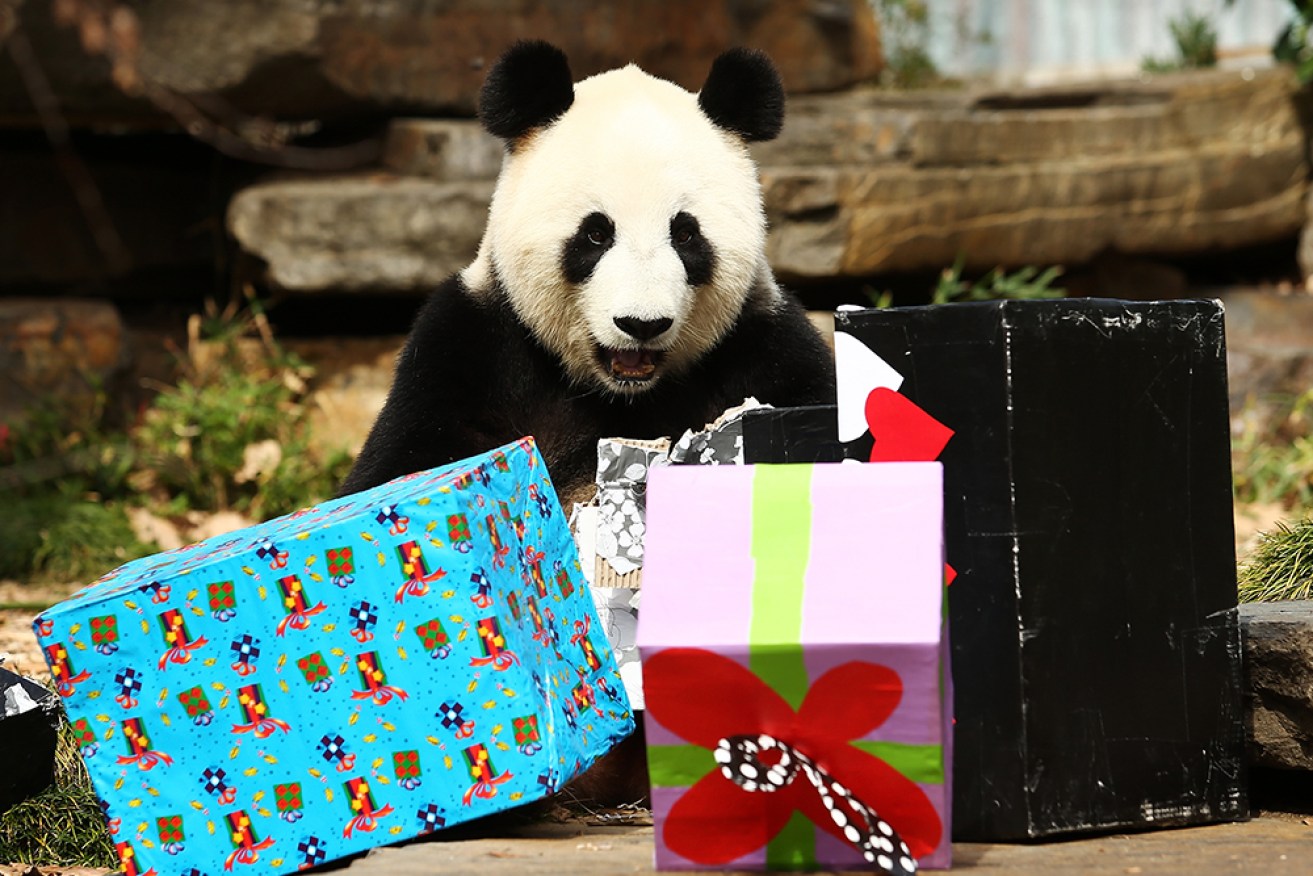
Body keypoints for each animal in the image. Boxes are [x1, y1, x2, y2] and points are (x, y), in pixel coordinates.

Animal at [338, 42, 829, 803]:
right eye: (595, 234)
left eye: (686, 235)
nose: (641, 324)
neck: (620, 389)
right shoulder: (473, 346)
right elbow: (401, 470)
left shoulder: (761, 350)